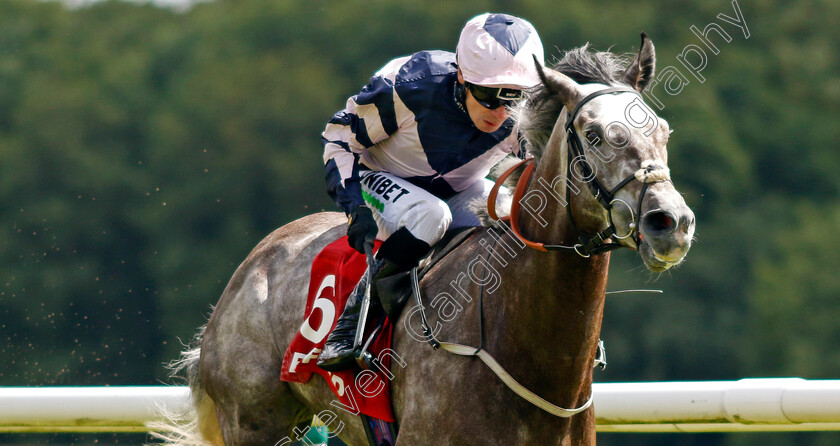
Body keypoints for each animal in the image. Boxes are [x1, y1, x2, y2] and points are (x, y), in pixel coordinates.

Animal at [153, 35, 696, 446]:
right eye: (595, 134)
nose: (670, 223)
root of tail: (253, 265)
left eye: (664, 130)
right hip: (254, 422)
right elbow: (344, 132)